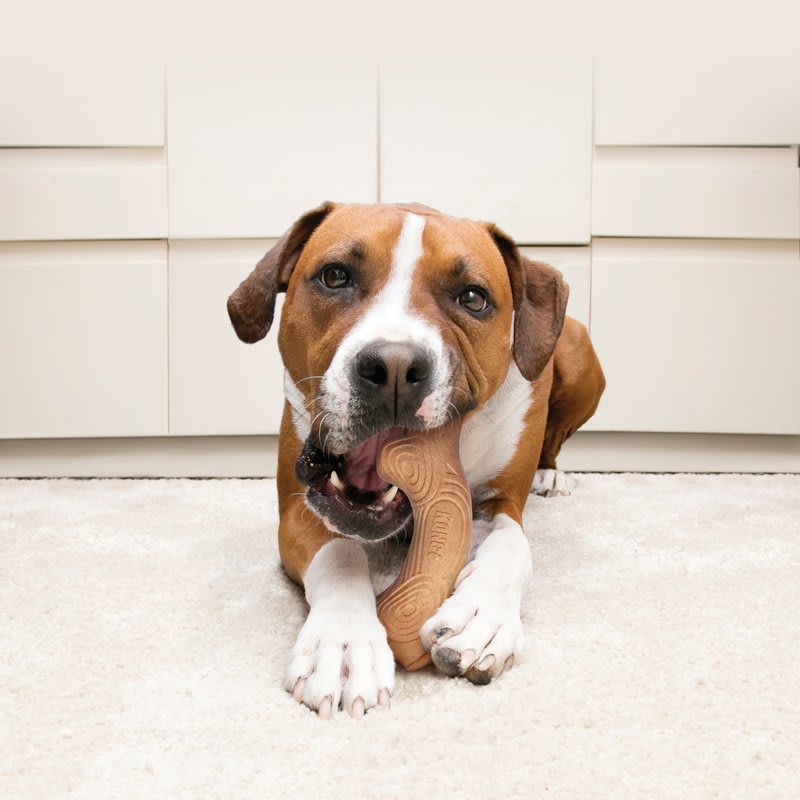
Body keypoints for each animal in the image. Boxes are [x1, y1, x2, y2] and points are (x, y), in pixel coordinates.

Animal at [228, 202, 605, 719]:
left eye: (473, 298)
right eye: (335, 275)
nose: (394, 367)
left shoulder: (499, 503)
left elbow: (512, 545)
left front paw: (481, 616)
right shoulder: (298, 510)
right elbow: (340, 553)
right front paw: (344, 644)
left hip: (580, 352)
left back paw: (552, 473)